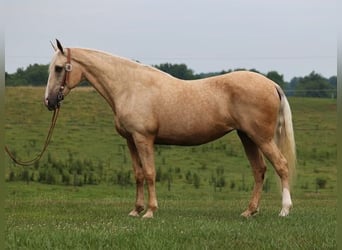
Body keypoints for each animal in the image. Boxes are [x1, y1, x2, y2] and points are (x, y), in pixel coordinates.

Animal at [44, 40, 296, 218]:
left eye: (59, 68)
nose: (49, 101)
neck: (129, 87)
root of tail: (271, 84)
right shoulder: (130, 140)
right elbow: (138, 174)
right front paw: (135, 210)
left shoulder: (143, 138)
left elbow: (150, 173)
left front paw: (150, 211)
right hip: (247, 137)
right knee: (259, 170)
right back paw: (249, 211)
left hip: (261, 138)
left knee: (282, 166)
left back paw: (284, 210)